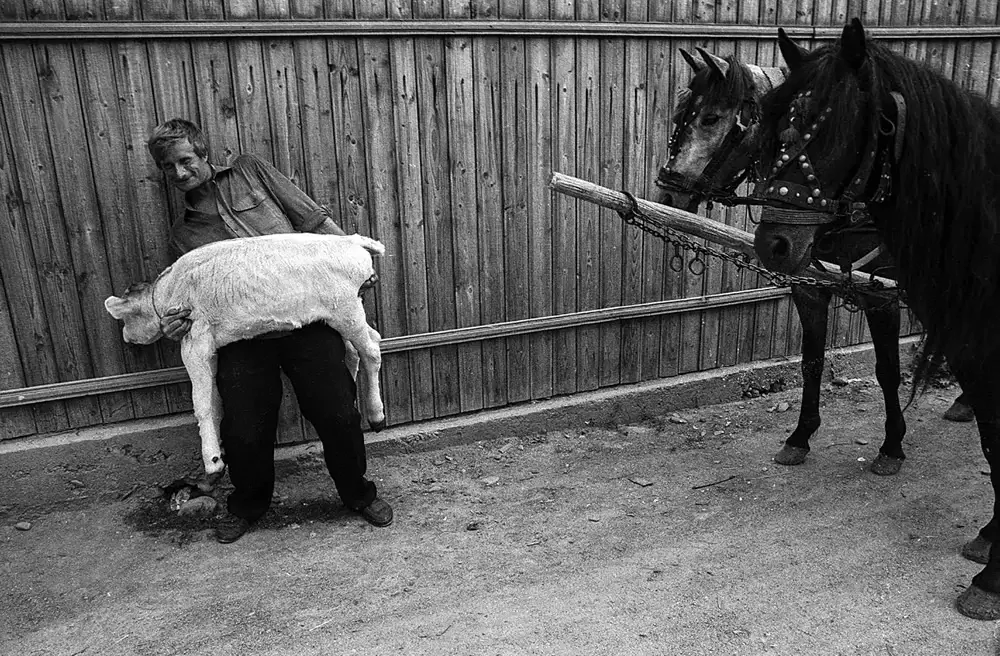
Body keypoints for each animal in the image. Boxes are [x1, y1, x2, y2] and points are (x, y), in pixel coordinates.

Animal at [652, 46, 972, 476]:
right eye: (678, 116)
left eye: (711, 118)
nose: (668, 194)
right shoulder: (809, 287)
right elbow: (812, 362)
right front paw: (800, 436)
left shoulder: (881, 296)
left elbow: (887, 370)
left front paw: (891, 445)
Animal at [752, 18, 1000, 616]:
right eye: (770, 124)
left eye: (834, 125)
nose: (774, 244)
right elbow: (813, 362)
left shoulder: (884, 299)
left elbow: (888, 371)